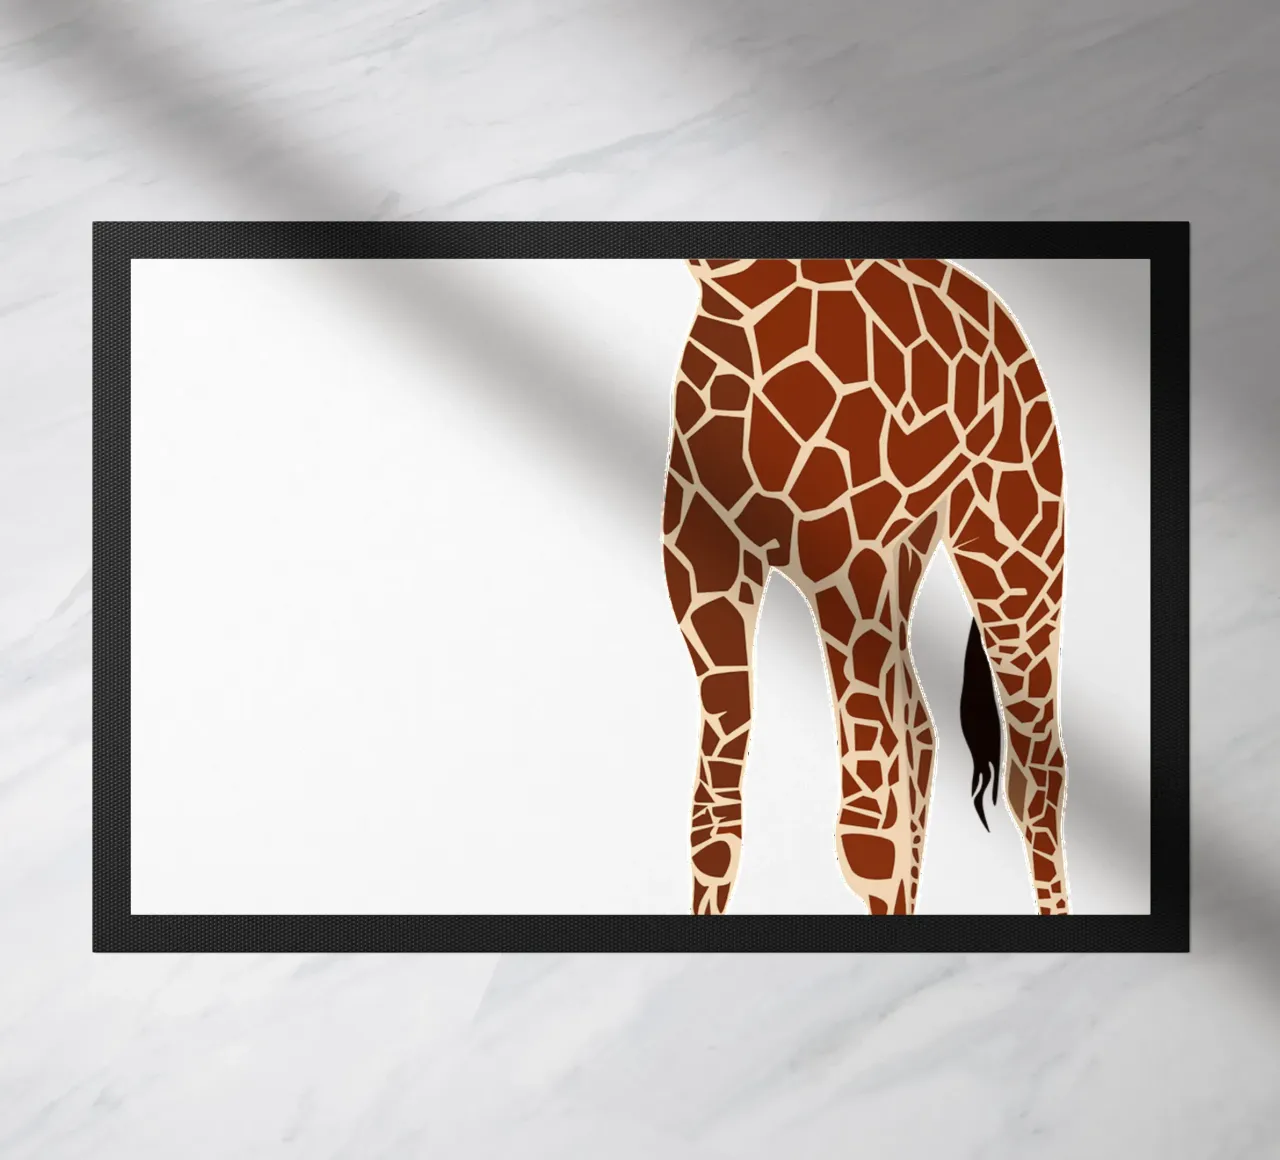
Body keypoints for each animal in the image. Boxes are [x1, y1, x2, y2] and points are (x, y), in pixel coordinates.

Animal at [661, 258, 1069, 917]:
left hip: (1014, 543)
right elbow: (715, 821)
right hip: (905, 555)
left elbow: (867, 835)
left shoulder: (846, 564)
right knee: (921, 735)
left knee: (1034, 774)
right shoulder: (703, 565)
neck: (736, 292)